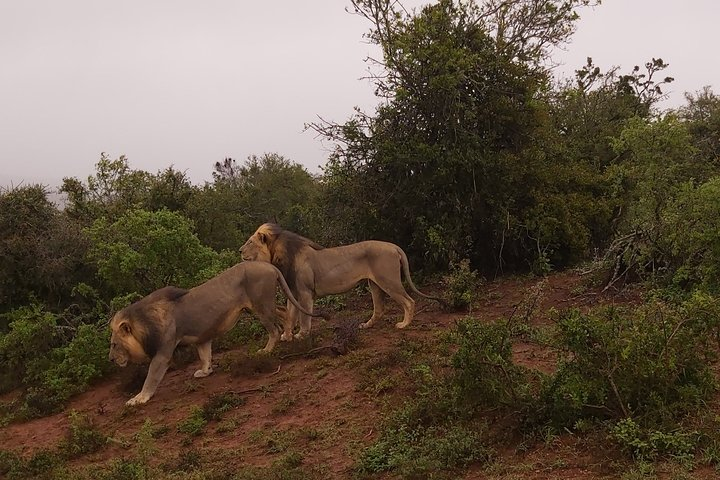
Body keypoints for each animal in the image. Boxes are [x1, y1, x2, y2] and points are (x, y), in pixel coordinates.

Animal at [107, 258, 330, 404]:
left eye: (114, 344)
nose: (110, 359)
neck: (143, 324)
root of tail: (269, 265)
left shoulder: (163, 352)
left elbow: (151, 377)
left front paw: (139, 398)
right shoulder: (202, 337)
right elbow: (205, 355)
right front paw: (205, 371)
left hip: (261, 305)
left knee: (274, 329)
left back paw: (267, 350)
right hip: (260, 305)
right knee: (284, 313)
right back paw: (289, 335)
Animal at [242, 223, 442, 340]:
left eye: (250, 242)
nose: (239, 251)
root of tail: (394, 246)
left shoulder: (305, 293)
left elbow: (304, 317)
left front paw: (301, 335)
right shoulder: (293, 292)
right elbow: (291, 315)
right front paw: (286, 335)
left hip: (388, 281)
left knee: (409, 301)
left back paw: (403, 325)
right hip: (375, 284)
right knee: (379, 309)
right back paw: (366, 325)